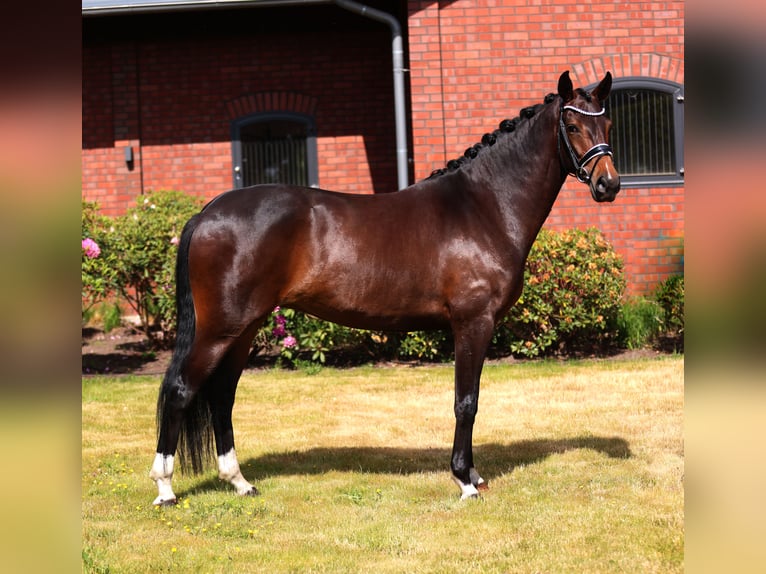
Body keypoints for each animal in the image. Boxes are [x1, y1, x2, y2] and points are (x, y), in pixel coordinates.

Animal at [150, 70, 619, 505]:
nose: (608, 184)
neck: (484, 205)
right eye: (572, 125)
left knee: (221, 397)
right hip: (220, 329)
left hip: (244, 328)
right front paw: (465, 480)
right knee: (180, 391)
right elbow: (466, 401)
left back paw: (240, 482)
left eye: (609, 124)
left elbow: (470, 399)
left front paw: (473, 473)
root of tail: (206, 213)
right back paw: (166, 488)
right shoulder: (473, 323)